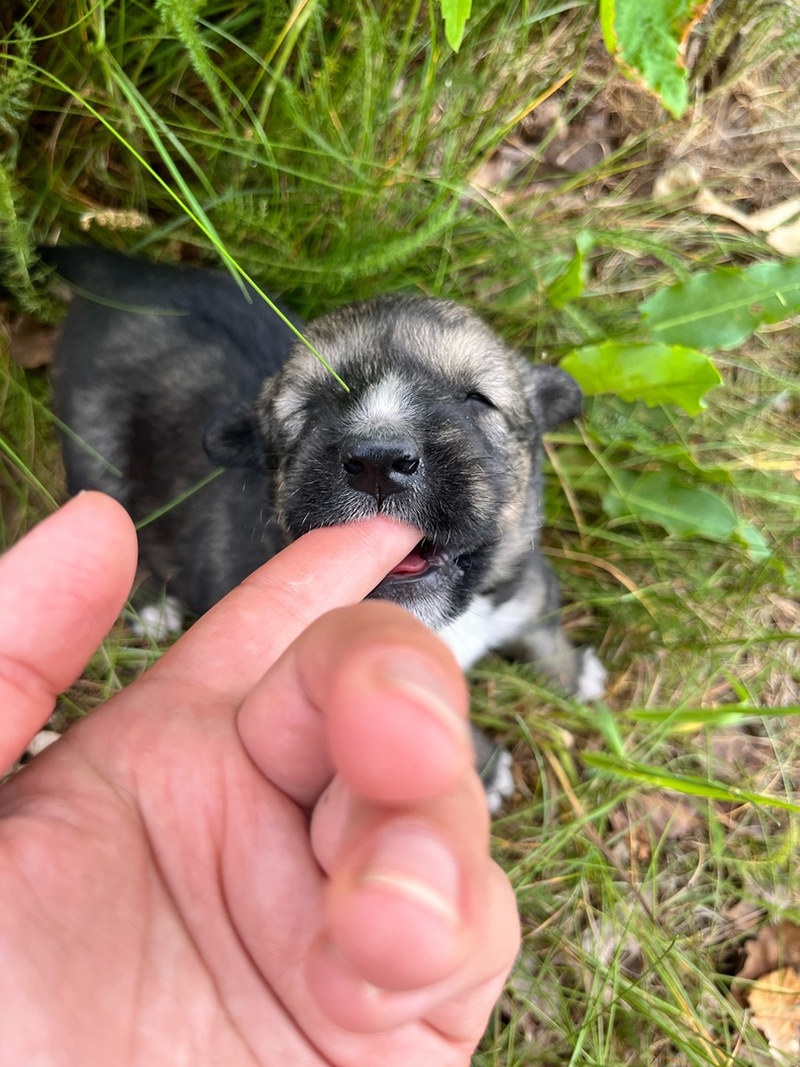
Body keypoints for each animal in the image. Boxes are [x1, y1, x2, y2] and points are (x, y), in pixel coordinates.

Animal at [46, 245, 605, 802]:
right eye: (310, 409)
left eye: (477, 399)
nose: (379, 461)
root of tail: (119, 275)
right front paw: (484, 771)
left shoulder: (526, 582)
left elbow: (543, 629)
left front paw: (574, 673)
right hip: (96, 452)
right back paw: (151, 607)